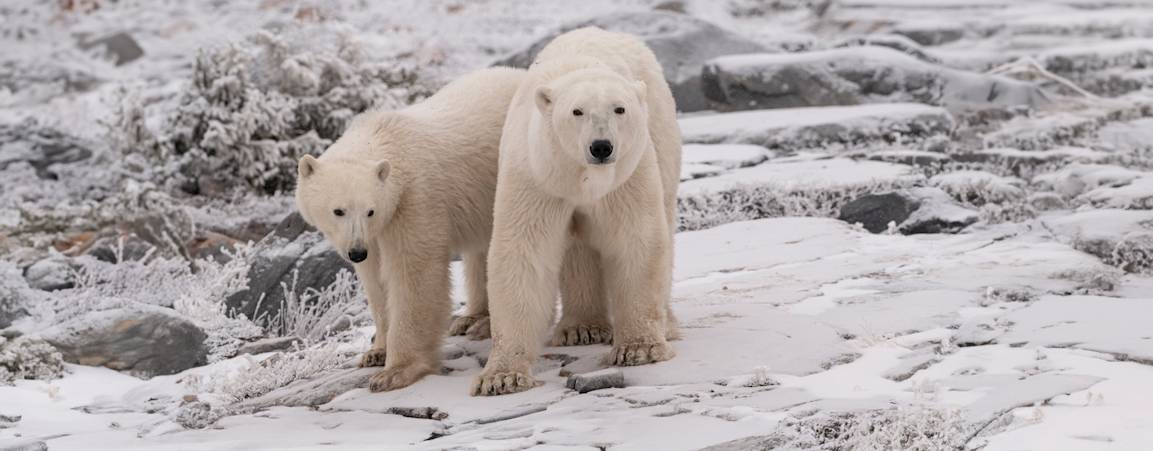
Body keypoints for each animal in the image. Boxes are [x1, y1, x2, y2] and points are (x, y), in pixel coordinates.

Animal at [295, 67, 527, 392]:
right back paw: (470, 318)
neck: (386, 137)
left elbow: (413, 272)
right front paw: (376, 352)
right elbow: (375, 280)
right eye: (338, 210)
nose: (356, 252)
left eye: (369, 210)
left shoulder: (414, 198)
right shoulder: (376, 232)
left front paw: (395, 371)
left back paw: (485, 323)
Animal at [473, 27, 683, 396]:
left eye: (619, 109)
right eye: (576, 111)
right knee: (577, 247)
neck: (582, 179)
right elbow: (524, 254)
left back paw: (664, 323)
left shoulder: (628, 176)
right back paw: (581, 327)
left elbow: (637, 240)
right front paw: (502, 376)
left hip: (660, 134)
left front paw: (640, 347)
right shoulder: (537, 176)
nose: (601, 147)